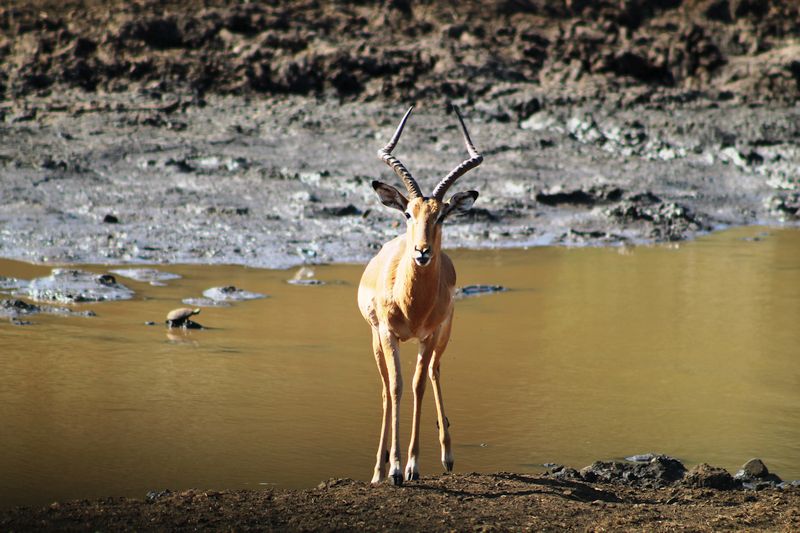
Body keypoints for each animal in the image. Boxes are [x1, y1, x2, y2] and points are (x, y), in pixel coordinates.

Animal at [357, 106, 483, 486]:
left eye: (441, 215)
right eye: (407, 213)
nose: (422, 251)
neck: (410, 303)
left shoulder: (428, 335)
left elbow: (417, 386)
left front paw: (412, 466)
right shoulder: (387, 334)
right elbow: (398, 388)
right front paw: (395, 469)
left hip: (444, 334)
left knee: (434, 372)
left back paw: (447, 456)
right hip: (375, 339)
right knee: (386, 391)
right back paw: (378, 469)